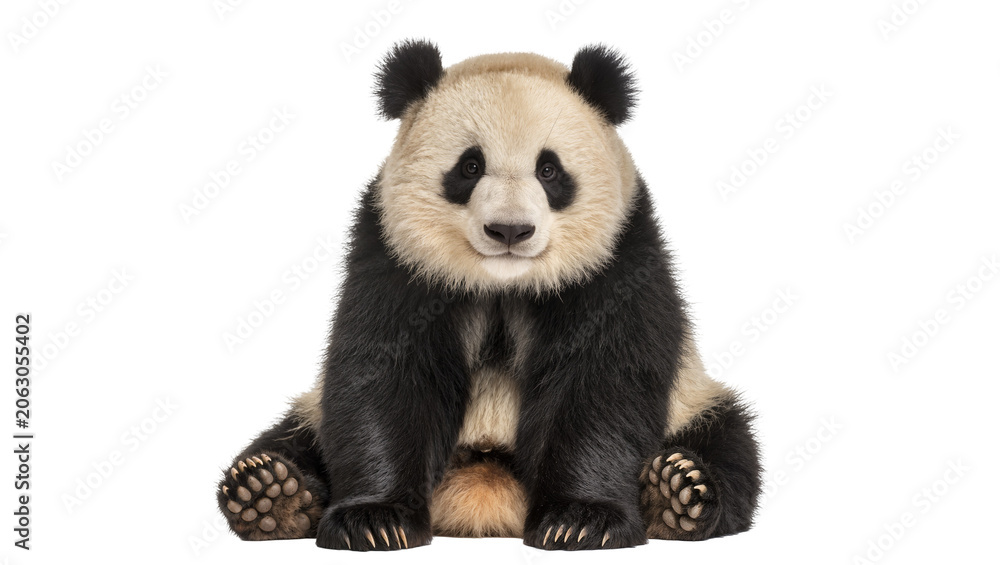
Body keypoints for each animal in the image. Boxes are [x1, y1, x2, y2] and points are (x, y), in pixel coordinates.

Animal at [217, 40, 762, 551]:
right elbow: (385, 375)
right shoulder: (393, 258)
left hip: (692, 399)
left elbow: (603, 378)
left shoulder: (621, 258)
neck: (503, 283)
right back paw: (270, 493)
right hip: (310, 414)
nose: (509, 231)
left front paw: (581, 521)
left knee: (729, 444)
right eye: (470, 166)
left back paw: (675, 493)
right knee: (291, 436)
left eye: (549, 170)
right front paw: (374, 521)